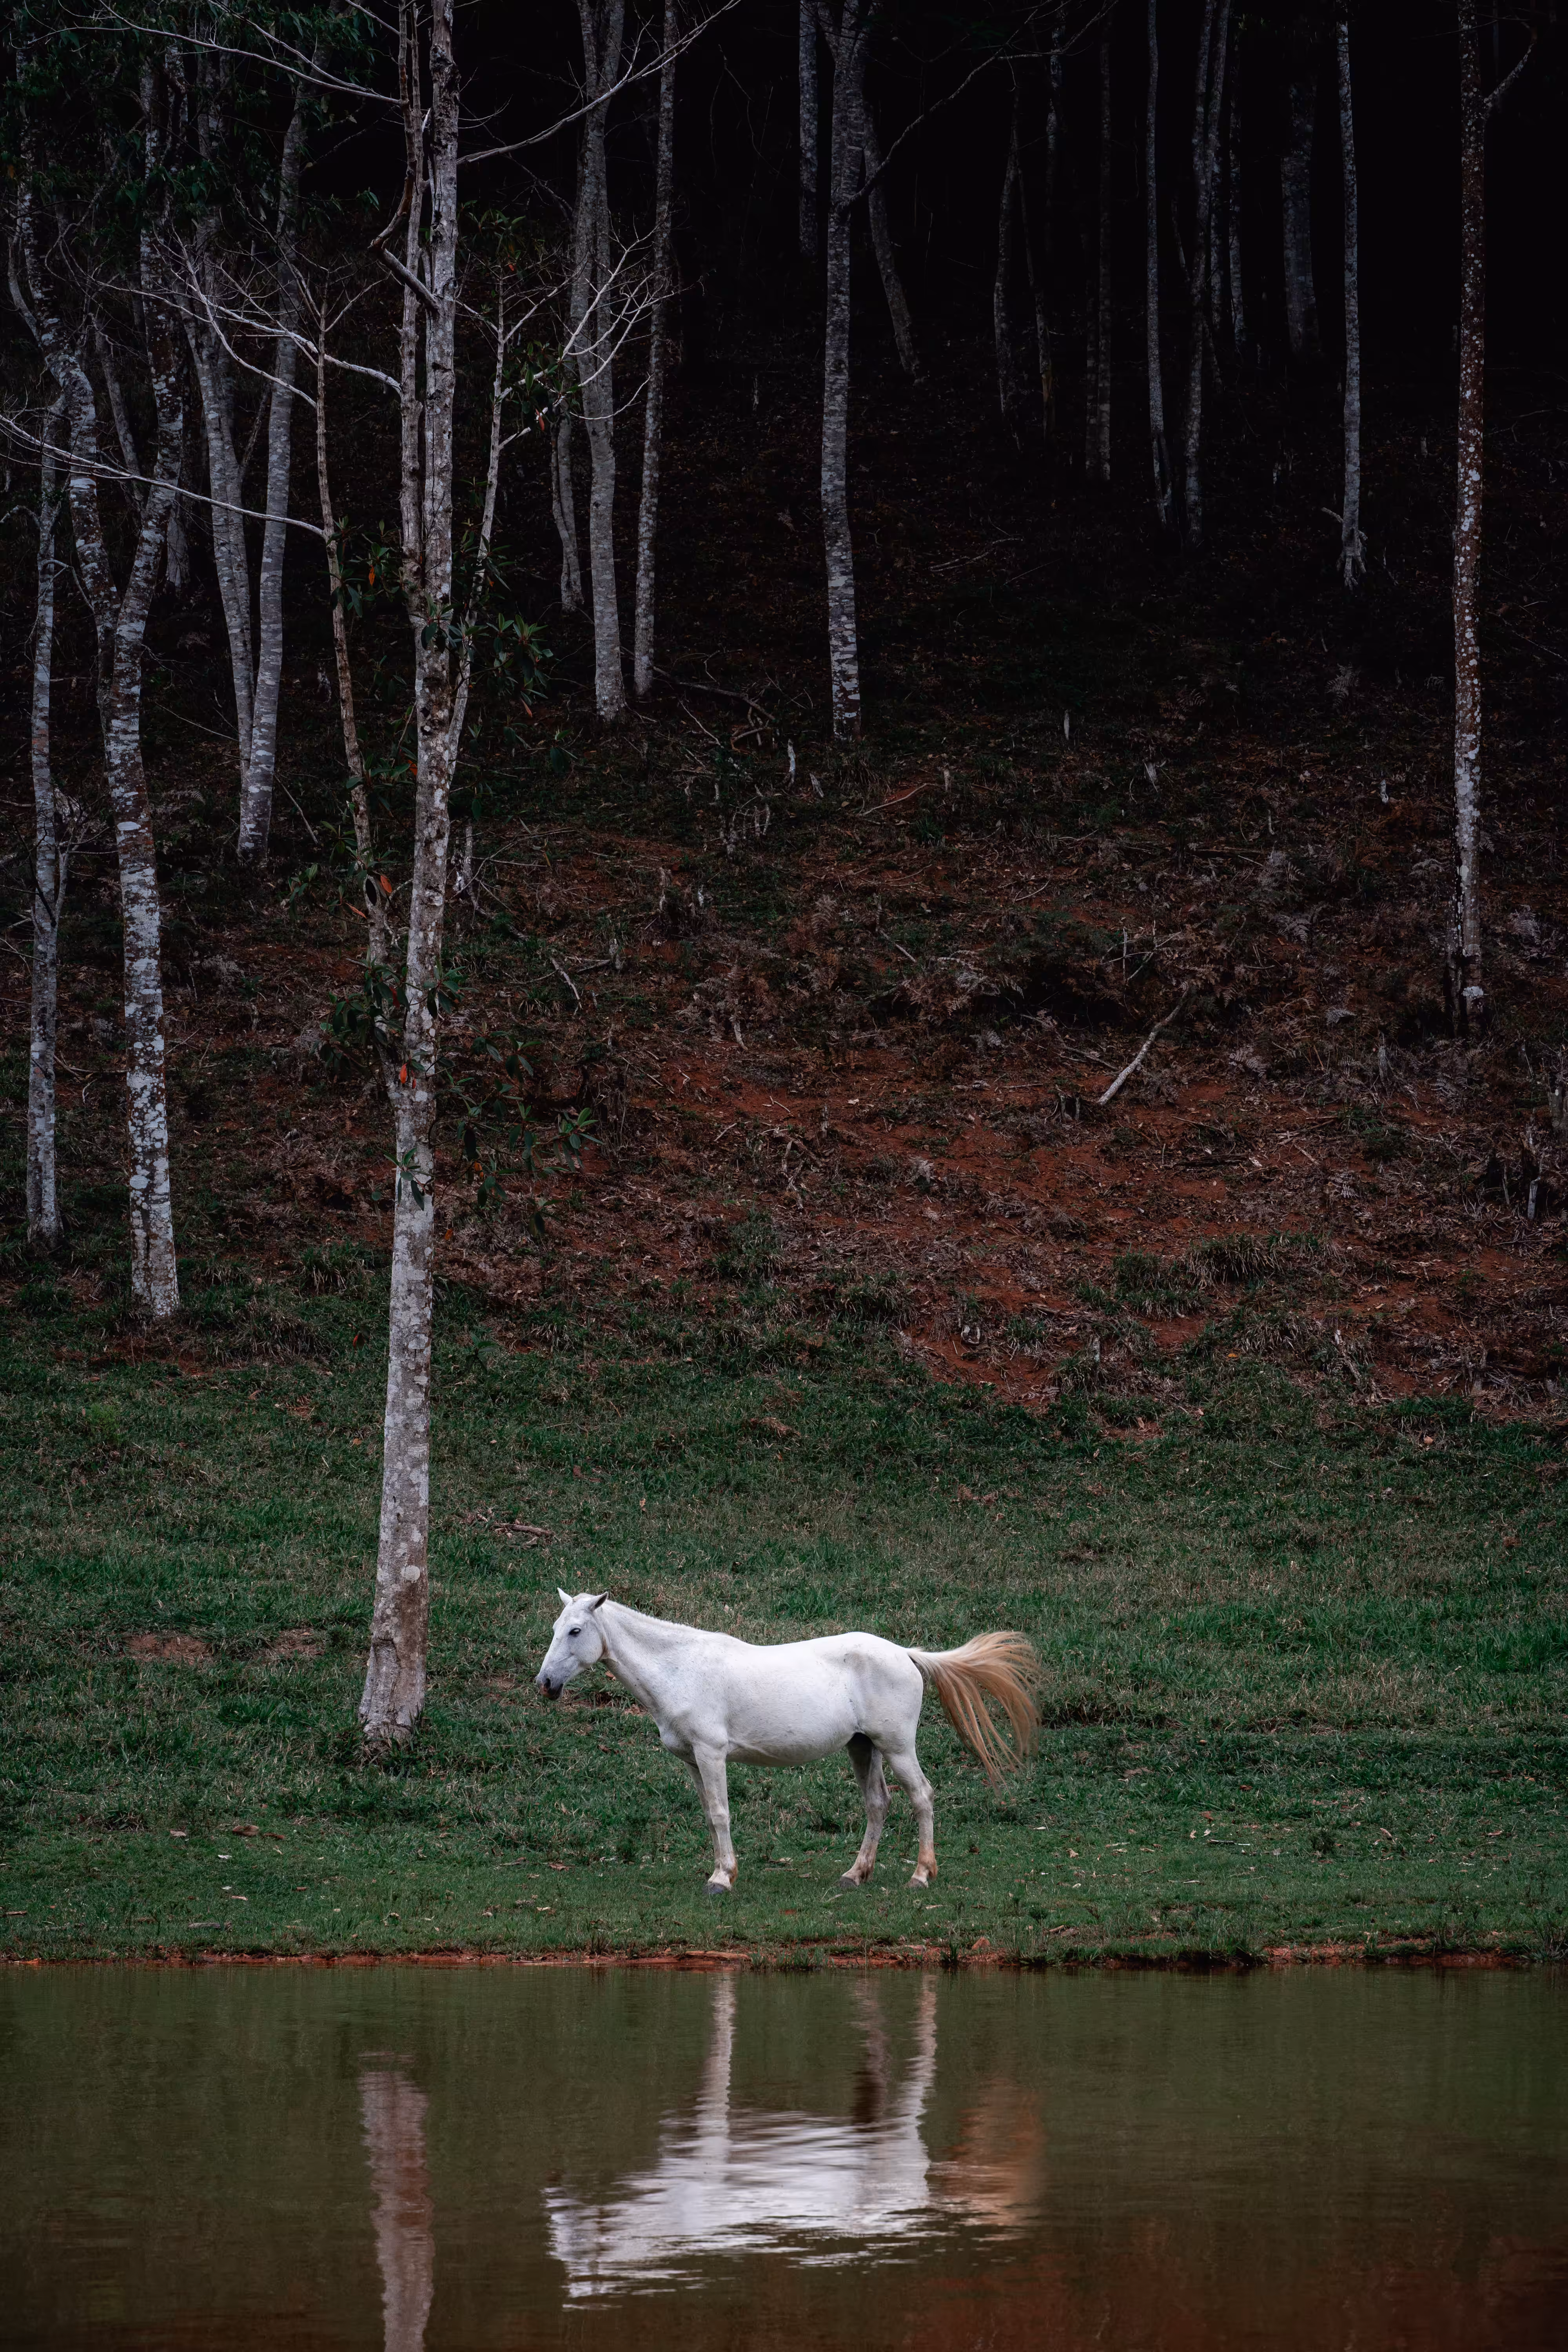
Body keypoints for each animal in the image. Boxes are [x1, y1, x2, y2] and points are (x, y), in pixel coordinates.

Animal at [532, 1591, 1041, 1894]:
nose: (545, 1684)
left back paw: (920, 1875)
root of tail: (904, 1654)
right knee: (878, 1804)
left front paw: (722, 1879)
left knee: (922, 1797)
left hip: (896, 1747)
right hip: (863, 1747)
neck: (680, 1669)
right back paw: (854, 1875)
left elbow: (721, 1814)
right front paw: (719, 1871)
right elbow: (709, 1815)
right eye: (555, 1629)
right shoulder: (693, 1762)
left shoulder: (711, 1755)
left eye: (575, 1631)